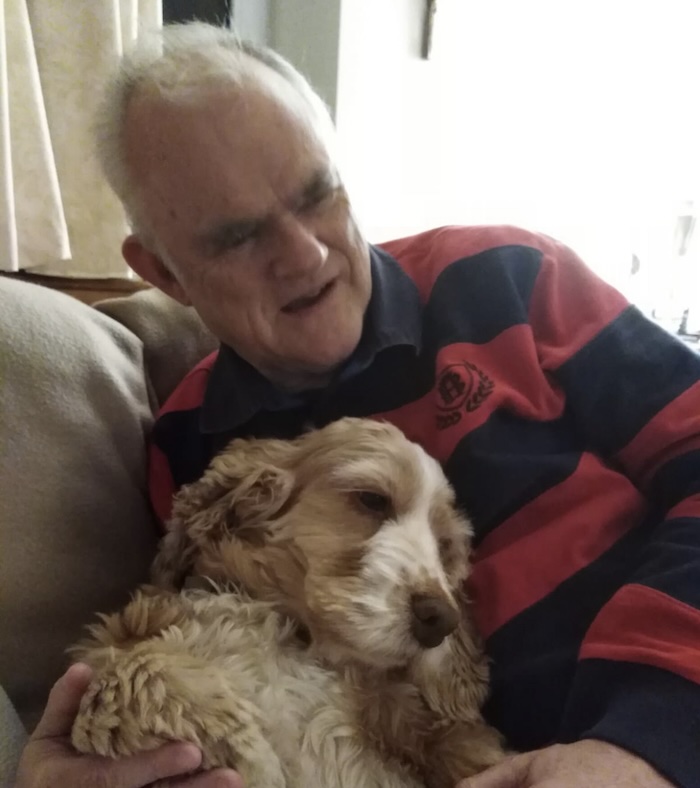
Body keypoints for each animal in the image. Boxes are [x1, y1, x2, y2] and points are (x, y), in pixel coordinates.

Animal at [71, 416, 506, 784]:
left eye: (444, 546)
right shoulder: (110, 650)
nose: (441, 620)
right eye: (372, 500)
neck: (300, 640)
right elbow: (134, 672)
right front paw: (249, 749)